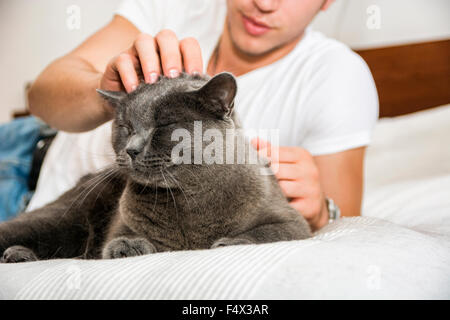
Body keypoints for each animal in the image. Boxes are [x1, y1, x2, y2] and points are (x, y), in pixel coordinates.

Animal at [0, 72, 310, 262]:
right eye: (125, 127)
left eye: (164, 125)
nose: (131, 148)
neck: (188, 198)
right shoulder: (120, 224)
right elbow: (117, 240)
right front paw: (130, 246)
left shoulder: (293, 221)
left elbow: (268, 234)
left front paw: (227, 243)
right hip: (60, 217)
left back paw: (19, 255)